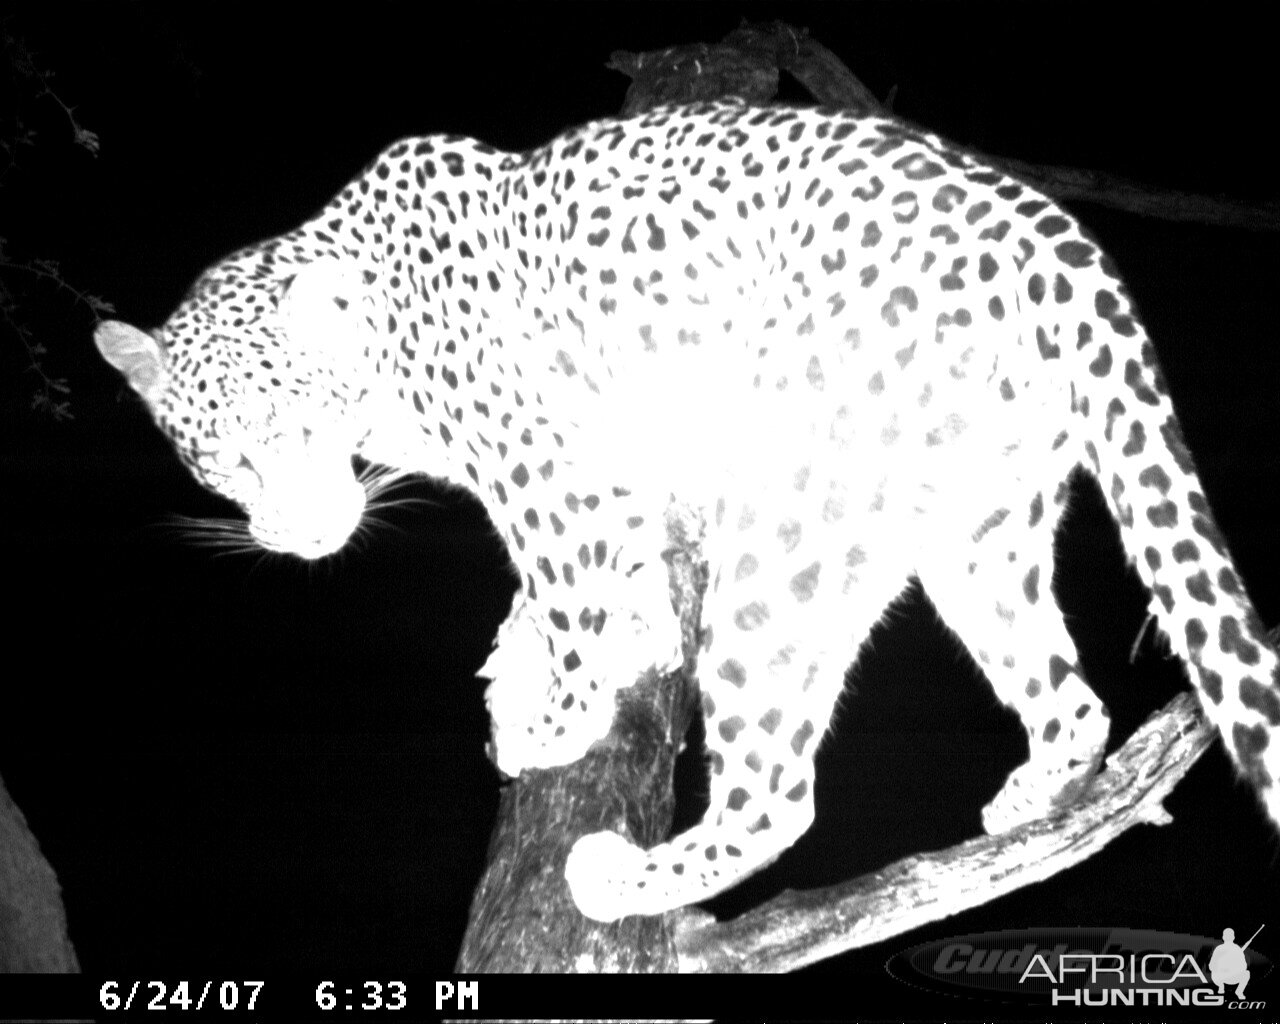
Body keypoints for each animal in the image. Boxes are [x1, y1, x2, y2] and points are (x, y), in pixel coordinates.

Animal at [92, 99, 1280, 921]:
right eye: (224, 460)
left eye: (298, 430)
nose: (296, 534)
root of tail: (1059, 247)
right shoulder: (621, 472)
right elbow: (603, 585)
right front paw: (565, 647)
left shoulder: (550, 476)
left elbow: (565, 595)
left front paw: (550, 718)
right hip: (976, 532)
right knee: (1070, 698)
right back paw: (1029, 801)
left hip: (789, 524)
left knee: (778, 791)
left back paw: (623, 879)